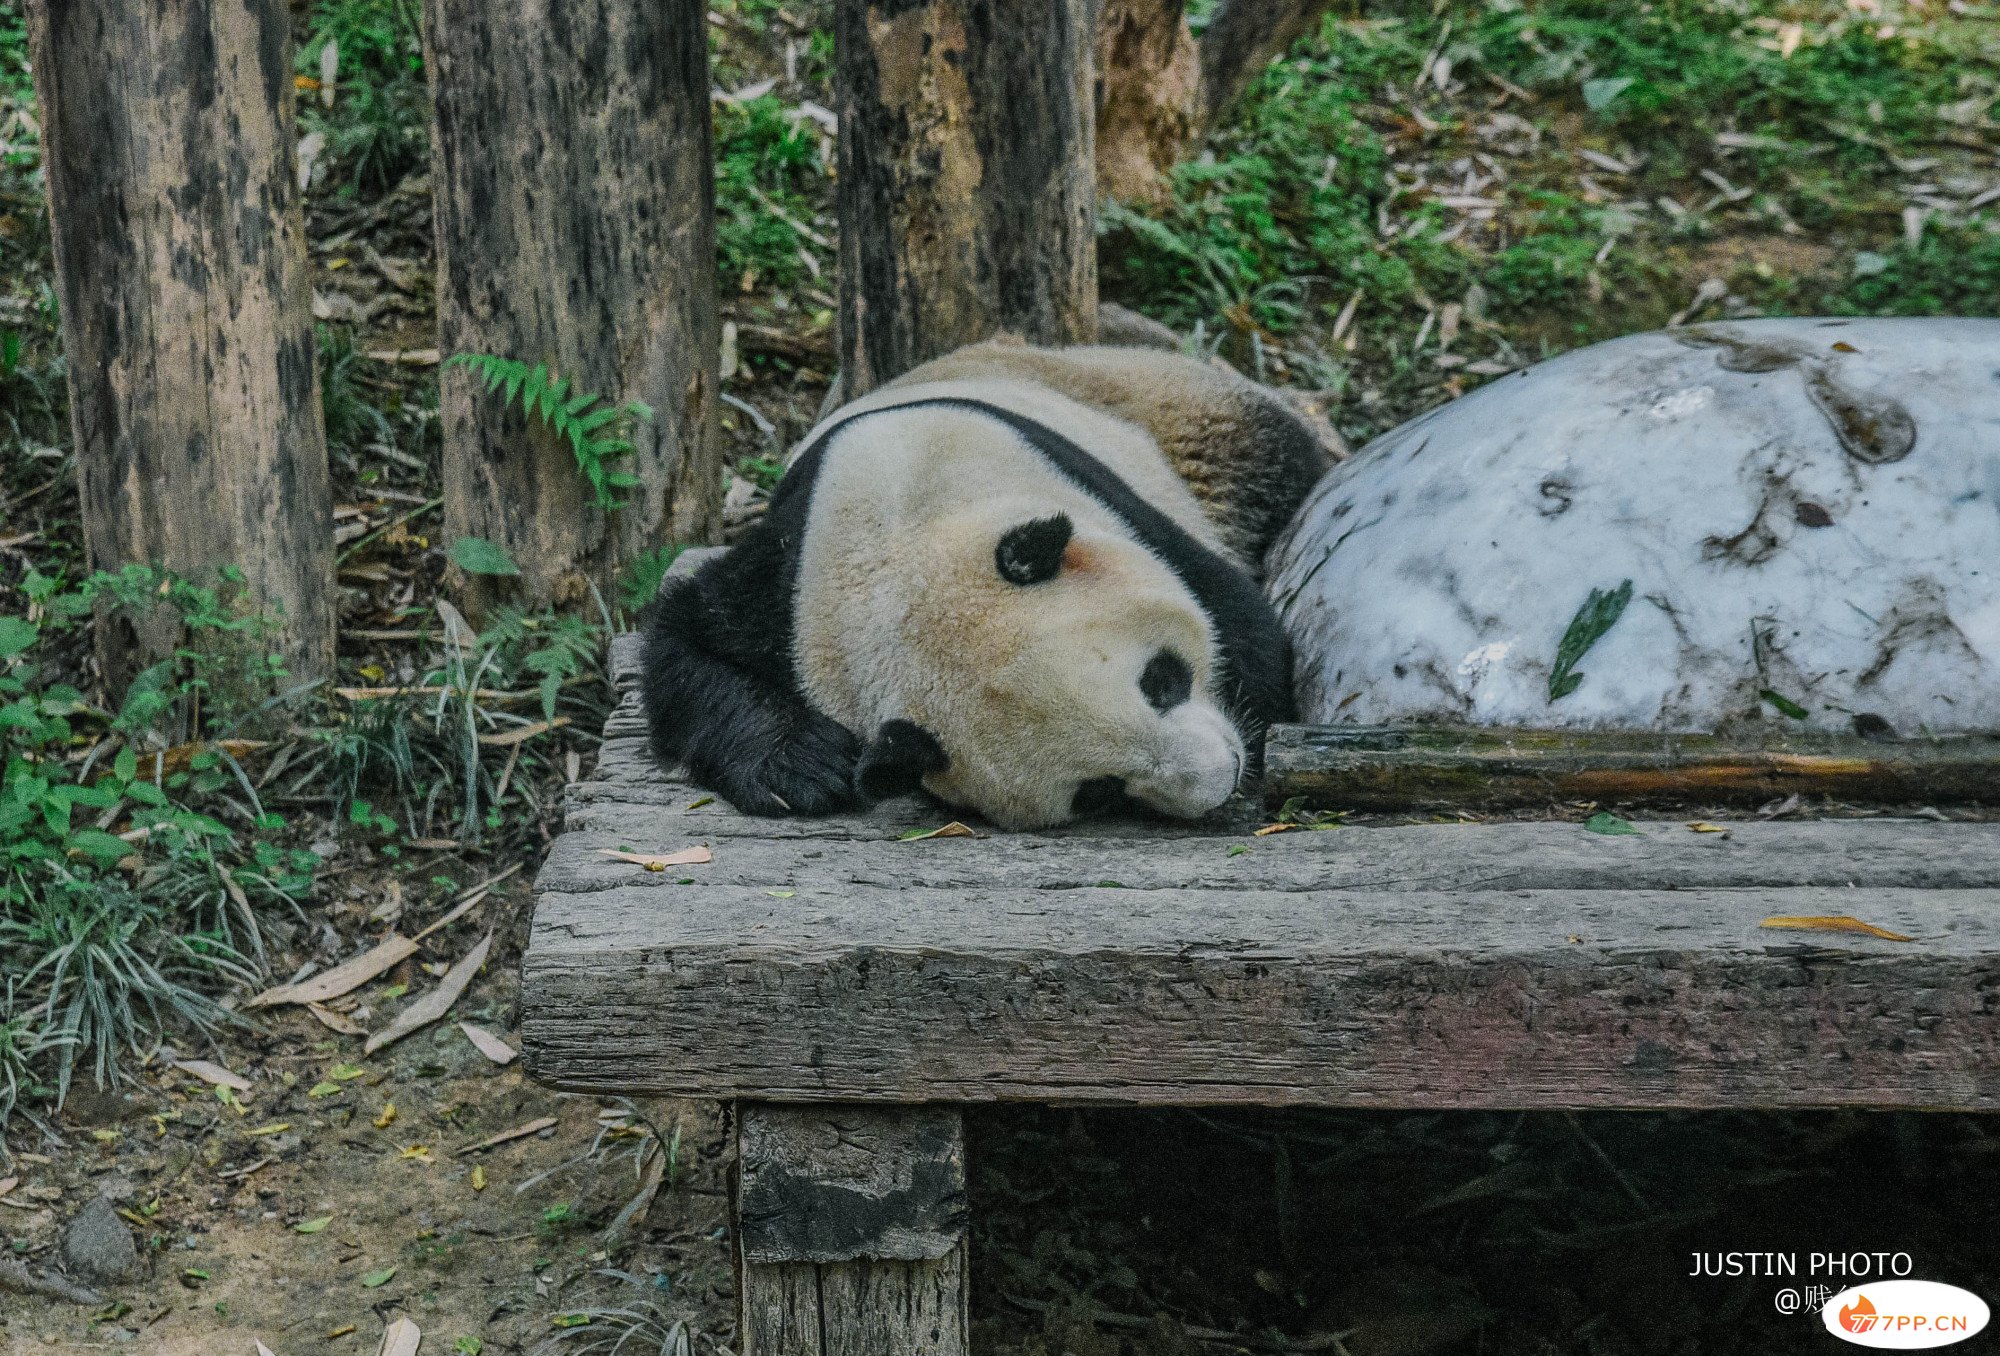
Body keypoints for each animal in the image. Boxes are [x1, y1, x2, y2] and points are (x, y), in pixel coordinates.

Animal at [640, 340, 1328, 828]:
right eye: (1099, 793)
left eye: (1161, 680)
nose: (1225, 776)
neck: (896, 554)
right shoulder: (790, 590)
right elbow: (683, 644)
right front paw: (802, 767)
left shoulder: (1090, 491)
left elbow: (1245, 627)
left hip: (1153, 403)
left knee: (1268, 451)